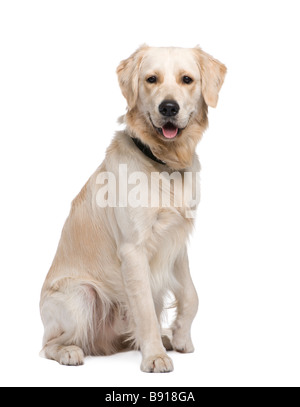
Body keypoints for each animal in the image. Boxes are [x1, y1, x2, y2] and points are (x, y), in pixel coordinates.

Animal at [40, 45, 227, 372]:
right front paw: (154, 357)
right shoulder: (133, 249)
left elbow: (191, 295)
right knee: (48, 343)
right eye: (151, 79)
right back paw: (69, 352)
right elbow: (145, 310)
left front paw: (180, 338)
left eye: (187, 79)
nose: (169, 108)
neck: (163, 163)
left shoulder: (176, 239)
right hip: (80, 295)